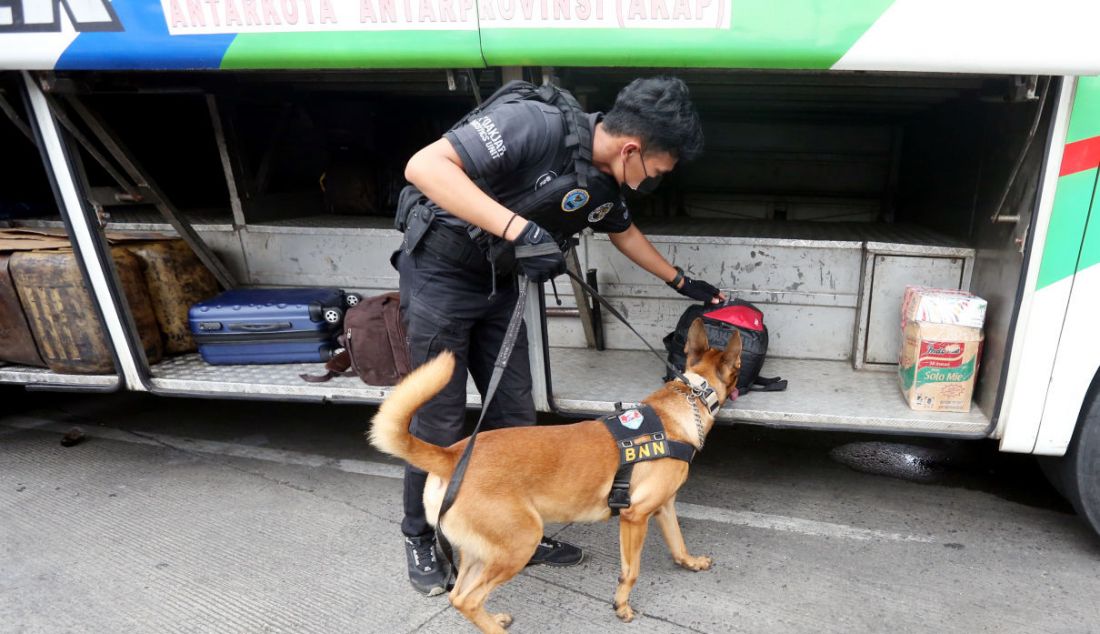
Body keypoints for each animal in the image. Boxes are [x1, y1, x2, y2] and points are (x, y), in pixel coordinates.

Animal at [369, 319, 739, 629]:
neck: (688, 400)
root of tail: (452, 455)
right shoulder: (634, 517)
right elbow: (630, 572)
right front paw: (621, 605)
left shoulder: (663, 507)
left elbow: (678, 543)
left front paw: (690, 562)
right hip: (520, 543)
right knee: (469, 599)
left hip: (482, 551)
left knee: (459, 596)